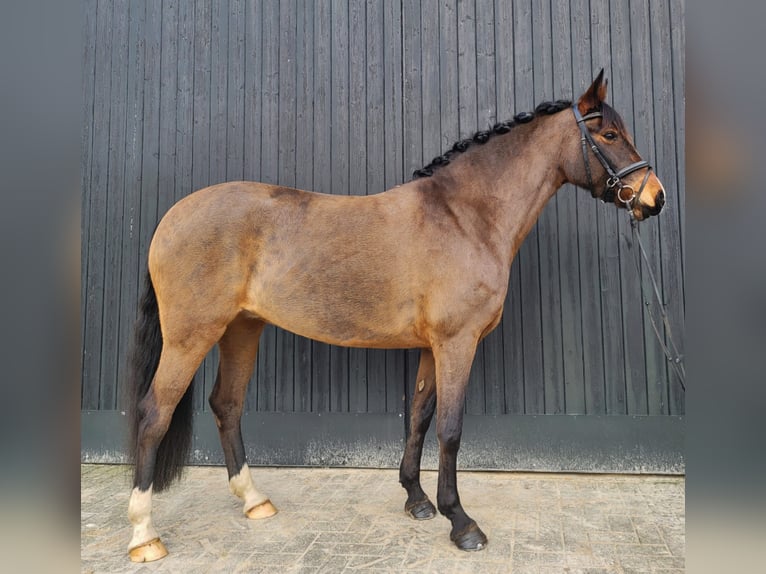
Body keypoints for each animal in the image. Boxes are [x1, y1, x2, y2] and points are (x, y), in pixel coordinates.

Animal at [126, 71, 664, 564]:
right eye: (609, 135)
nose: (653, 197)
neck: (464, 216)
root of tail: (172, 217)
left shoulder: (431, 346)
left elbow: (420, 417)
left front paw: (417, 500)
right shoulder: (456, 343)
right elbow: (450, 428)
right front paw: (461, 522)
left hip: (242, 329)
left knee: (227, 405)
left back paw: (254, 500)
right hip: (191, 336)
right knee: (155, 414)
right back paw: (144, 536)